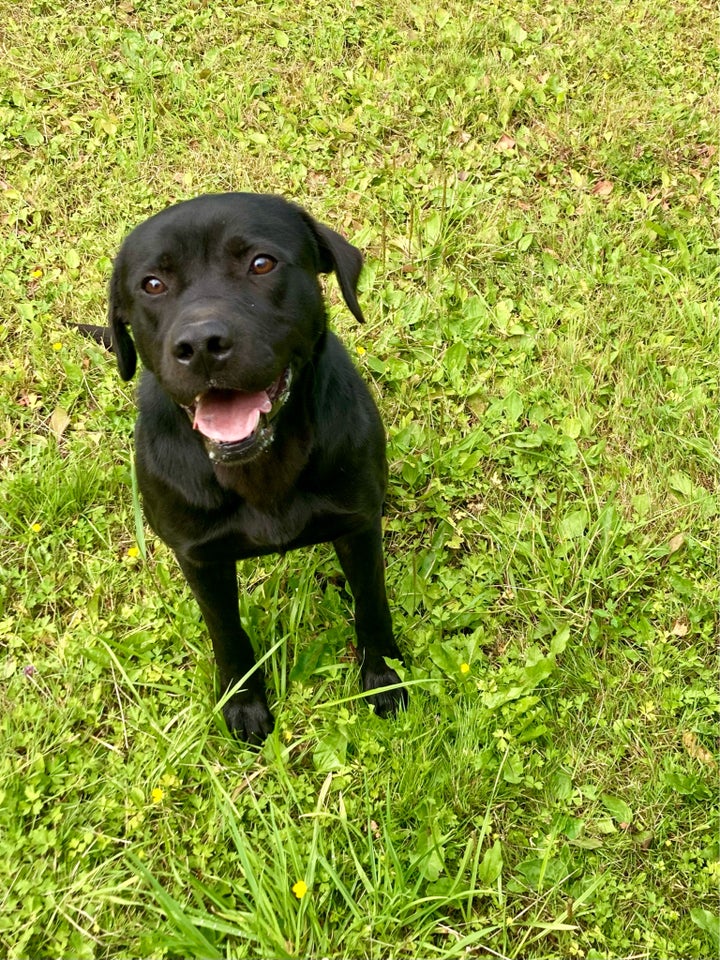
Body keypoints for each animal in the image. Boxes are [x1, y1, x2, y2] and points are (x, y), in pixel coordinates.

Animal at [109, 193, 408, 744]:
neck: (261, 468)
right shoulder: (201, 558)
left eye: (261, 264)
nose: (201, 345)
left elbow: (372, 605)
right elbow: (226, 632)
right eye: (153, 284)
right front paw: (243, 702)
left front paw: (382, 679)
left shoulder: (358, 525)